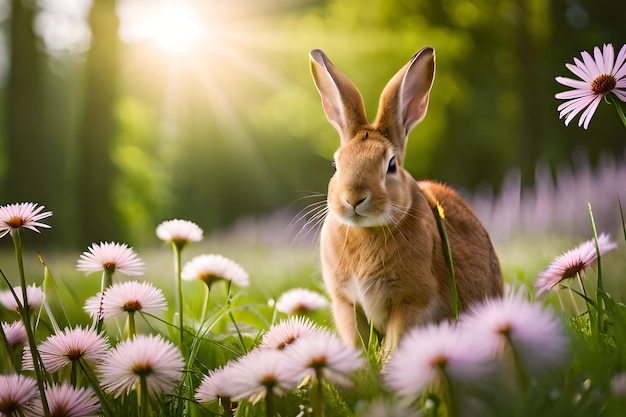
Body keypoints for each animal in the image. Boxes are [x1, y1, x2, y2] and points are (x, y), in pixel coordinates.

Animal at [308, 47, 502, 352]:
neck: (367, 231)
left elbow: (396, 341)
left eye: (390, 165)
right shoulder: (347, 303)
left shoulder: (412, 301)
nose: (353, 199)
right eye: (336, 165)